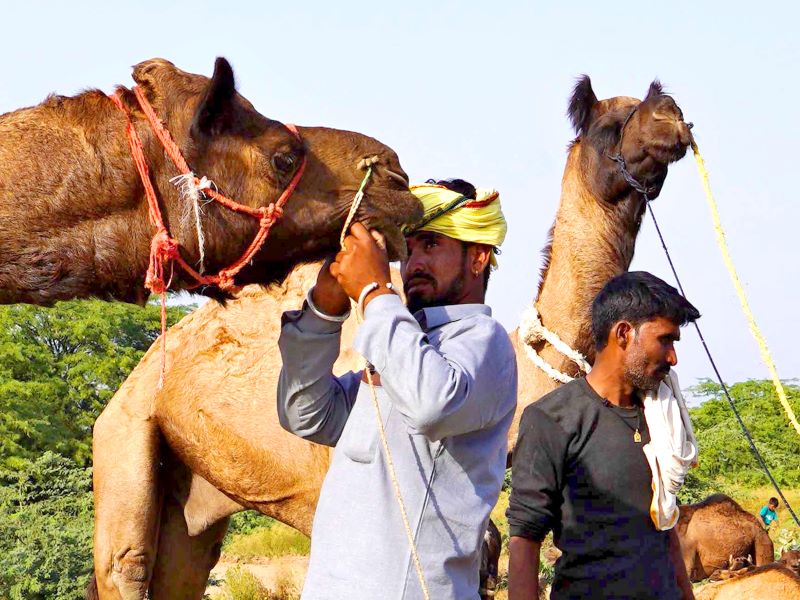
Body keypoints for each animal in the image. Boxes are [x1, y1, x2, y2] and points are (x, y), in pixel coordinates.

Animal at [91, 76, 692, 599]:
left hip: (193, 492)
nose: (671, 117)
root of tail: (136, 377)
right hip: (126, 433)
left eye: (653, 104)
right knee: (127, 564)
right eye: (610, 125)